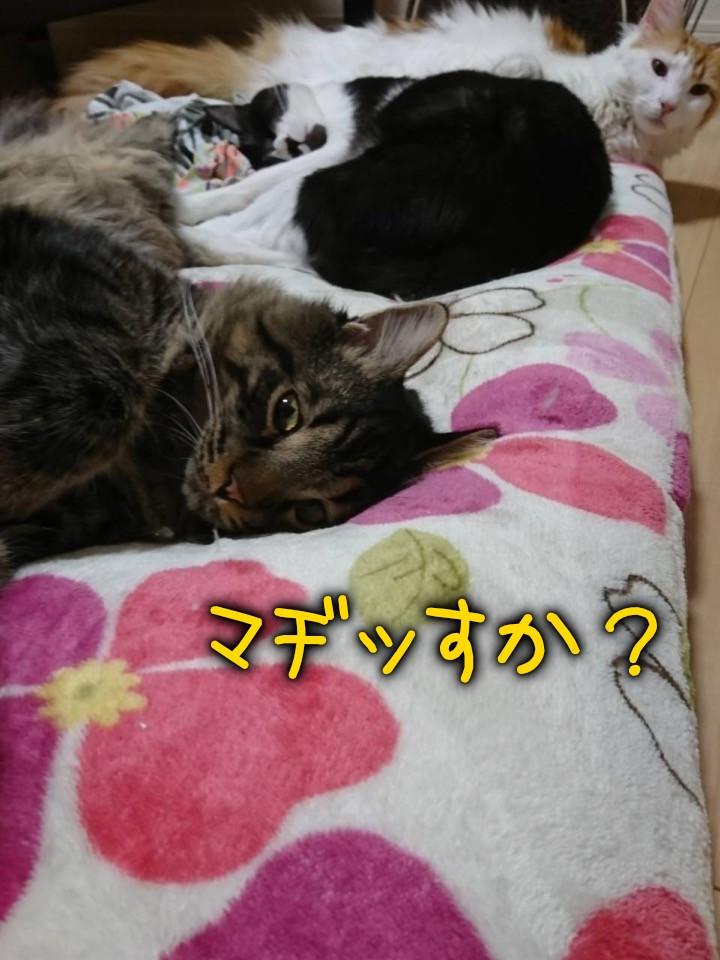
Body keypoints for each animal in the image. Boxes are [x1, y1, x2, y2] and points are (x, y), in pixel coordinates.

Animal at [178, 69, 612, 299]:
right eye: (270, 145)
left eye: (272, 120)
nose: (291, 143)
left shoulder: (333, 148)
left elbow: (252, 187)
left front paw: (188, 206)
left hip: (343, 179)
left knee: (284, 235)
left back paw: (185, 234)